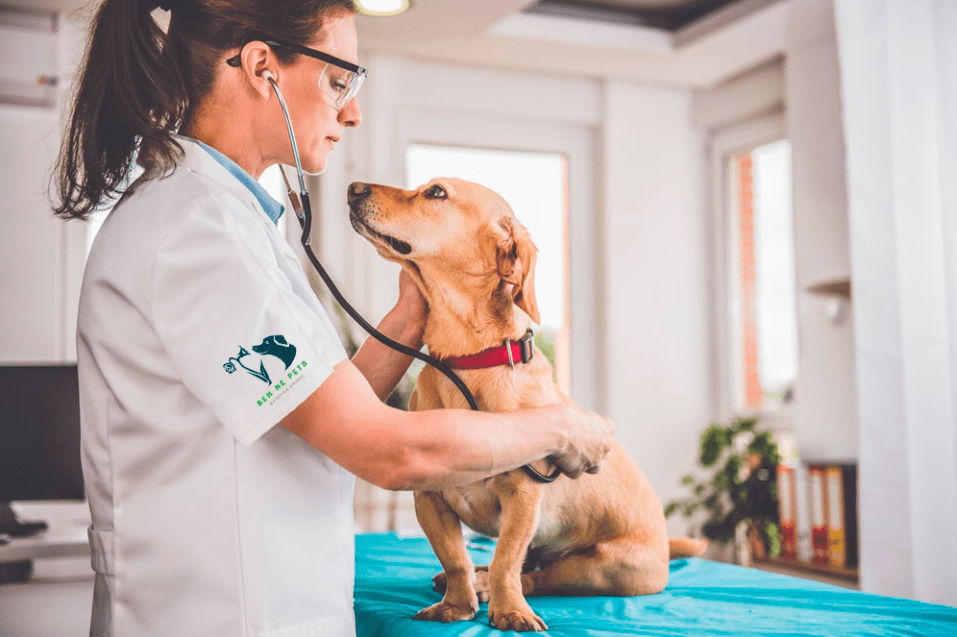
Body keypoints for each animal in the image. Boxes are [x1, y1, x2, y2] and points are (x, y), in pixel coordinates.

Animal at [348, 179, 704, 632]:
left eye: (436, 193)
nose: (353, 188)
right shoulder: (429, 499)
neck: (468, 362)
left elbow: (506, 561)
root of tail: (664, 543)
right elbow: (456, 558)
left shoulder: (523, 498)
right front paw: (456, 605)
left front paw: (508, 610)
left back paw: (494, 588)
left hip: (605, 568)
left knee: (536, 576)